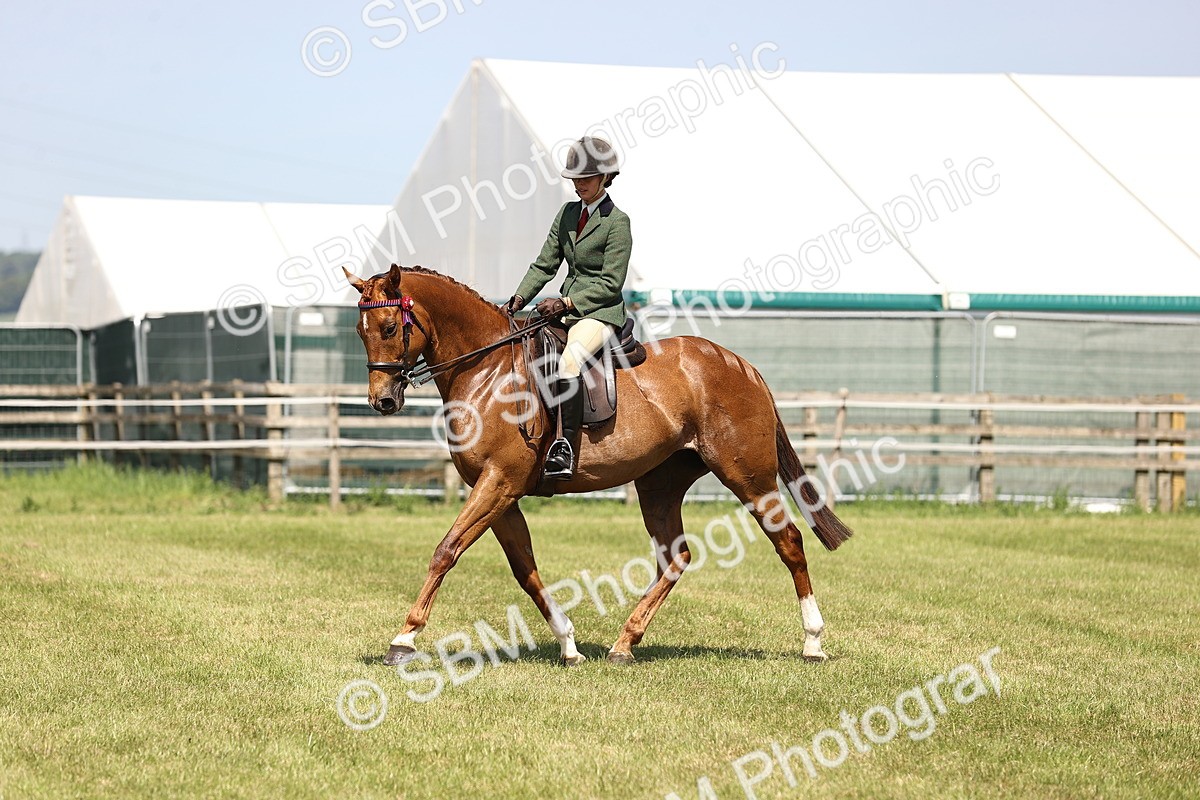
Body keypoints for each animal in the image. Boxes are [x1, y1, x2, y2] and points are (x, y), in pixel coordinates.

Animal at [344, 263, 853, 667]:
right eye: (360, 331)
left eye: (388, 328)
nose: (382, 401)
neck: (487, 370)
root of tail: (740, 365)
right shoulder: (502, 494)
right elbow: (525, 570)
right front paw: (569, 645)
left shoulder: (497, 484)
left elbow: (446, 551)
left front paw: (404, 639)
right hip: (660, 485)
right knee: (675, 557)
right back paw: (625, 643)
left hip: (749, 477)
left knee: (788, 542)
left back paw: (812, 642)